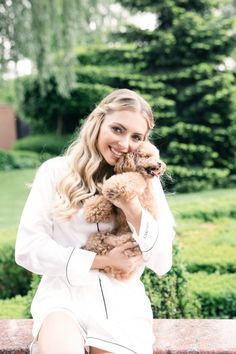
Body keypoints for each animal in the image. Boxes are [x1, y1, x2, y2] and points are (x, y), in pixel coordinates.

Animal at [81, 141, 166, 280]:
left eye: (157, 157)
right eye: (147, 156)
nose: (159, 164)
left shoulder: (136, 182)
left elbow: (126, 179)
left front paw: (112, 187)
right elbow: (102, 199)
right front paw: (93, 211)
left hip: (126, 241)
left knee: (104, 246)